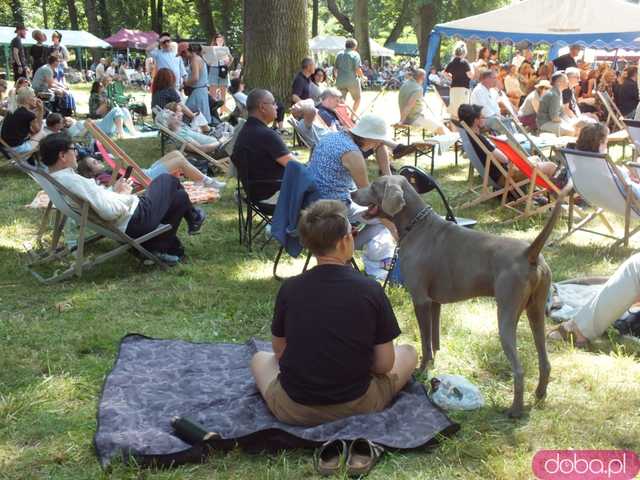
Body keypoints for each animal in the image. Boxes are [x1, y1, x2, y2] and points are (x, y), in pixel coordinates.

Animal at [350, 176, 564, 416]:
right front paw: (435, 364)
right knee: (545, 360)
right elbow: (434, 340)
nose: (351, 194)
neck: (416, 225)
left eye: (374, 186)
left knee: (518, 370)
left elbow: (424, 341)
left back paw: (515, 411)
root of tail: (530, 253)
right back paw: (540, 395)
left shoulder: (420, 300)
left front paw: (422, 369)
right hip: (536, 311)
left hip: (506, 313)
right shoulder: (434, 302)